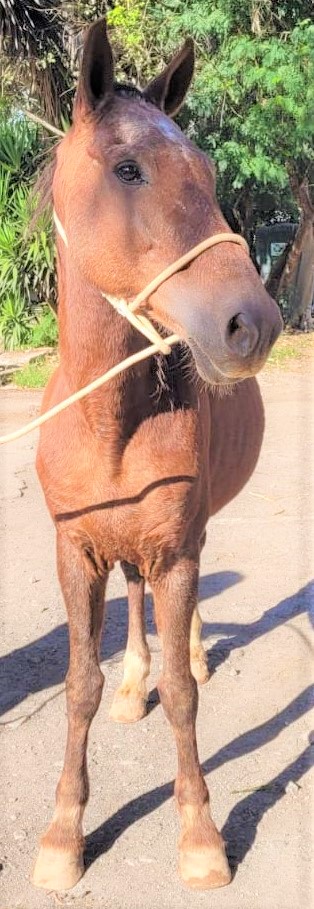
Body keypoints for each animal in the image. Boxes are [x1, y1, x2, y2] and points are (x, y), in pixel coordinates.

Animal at [32, 19, 282, 892]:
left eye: (205, 171)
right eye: (127, 168)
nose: (253, 323)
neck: (108, 422)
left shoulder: (175, 548)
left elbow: (182, 695)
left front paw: (201, 836)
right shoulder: (75, 550)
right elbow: (79, 683)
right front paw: (63, 835)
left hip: (191, 535)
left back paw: (197, 651)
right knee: (134, 601)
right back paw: (133, 679)